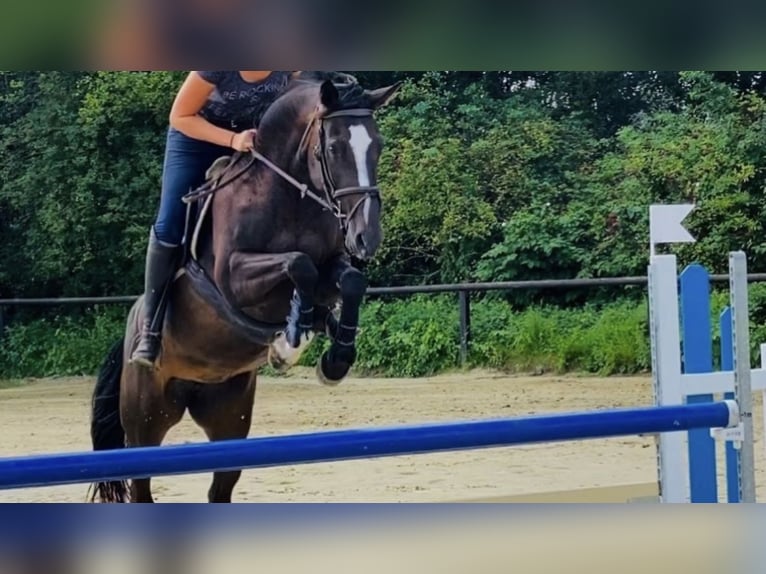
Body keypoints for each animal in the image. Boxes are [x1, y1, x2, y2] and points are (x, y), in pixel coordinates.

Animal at [88, 73, 402, 504]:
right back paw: (148, 348)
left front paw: (333, 358)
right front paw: (290, 342)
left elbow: (348, 280)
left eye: (378, 146)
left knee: (220, 486)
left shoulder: (332, 267)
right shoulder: (232, 279)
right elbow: (297, 264)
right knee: (141, 484)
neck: (288, 196)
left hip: (228, 417)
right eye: (334, 147)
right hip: (145, 420)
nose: (366, 238)